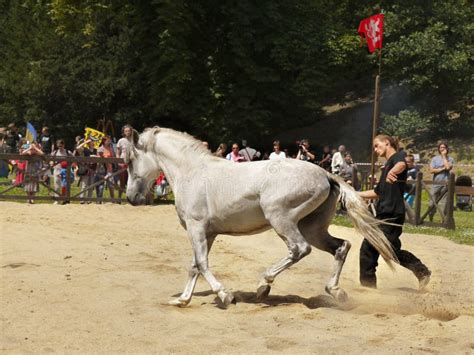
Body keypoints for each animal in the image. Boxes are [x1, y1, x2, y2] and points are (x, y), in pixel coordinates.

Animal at [125, 127, 396, 308]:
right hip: (313, 228)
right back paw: (336, 291)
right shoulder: (207, 233)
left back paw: (263, 285)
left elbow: (201, 264)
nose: (131, 197)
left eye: (130, 160)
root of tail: (326, 175)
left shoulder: (196, 228)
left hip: (281, 219)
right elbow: (194, 266)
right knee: (341, 246)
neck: (192, 173)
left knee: (299, 249)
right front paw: (183, 299)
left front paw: (225, 295)